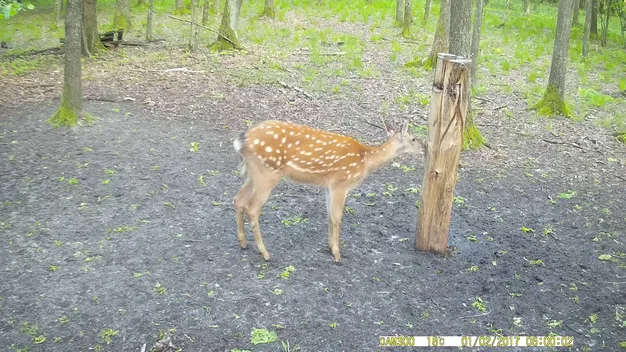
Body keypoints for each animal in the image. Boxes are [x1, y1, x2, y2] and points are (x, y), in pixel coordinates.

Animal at [233, 119, 424, 262]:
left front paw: (330, 248)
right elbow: (338, 217)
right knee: (252, 208)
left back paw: (243, 242)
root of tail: (242, 139)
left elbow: (330, 216)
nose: (425, 147)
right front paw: (337, 255)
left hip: (254, 173)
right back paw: (265, 253)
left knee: (238, 199)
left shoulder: (328, 185)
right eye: (414, 138)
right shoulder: (341, 182)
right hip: (267, 172)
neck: (365, 160)